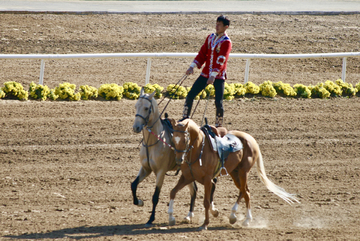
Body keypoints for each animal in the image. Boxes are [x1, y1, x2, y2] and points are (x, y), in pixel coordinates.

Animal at [131, 88, 197, 226]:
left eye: (146, 108)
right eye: (136, 106)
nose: (136, 127)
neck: (153, 142)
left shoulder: (160, 172)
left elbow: (155, 196)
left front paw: (151, 219)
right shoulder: (145, 169)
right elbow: (133, 185)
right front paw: (139, 202)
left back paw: (190, 215)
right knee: (194, 190)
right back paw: (189, 216)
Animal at [167, 118, 300, 230]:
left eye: (185, 139)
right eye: (173, 140)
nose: (179, 160)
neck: (199, 149)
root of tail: (251, 139)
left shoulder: (208, 180)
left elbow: (206, 202)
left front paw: (205, 224)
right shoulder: (187, 177)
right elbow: (173, 192)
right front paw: (171, 218)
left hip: (243, 172)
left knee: (246, 192)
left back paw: (247, 220)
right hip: (234, 173)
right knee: (243, 190)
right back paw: (233, 216)